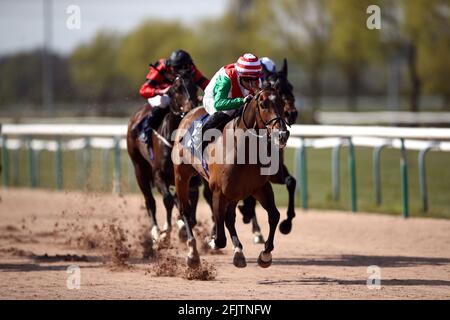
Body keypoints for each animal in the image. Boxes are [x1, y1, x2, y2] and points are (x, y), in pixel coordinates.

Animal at [125, 74, 198, 245]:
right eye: (176, 89)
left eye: (194, 87)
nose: (191, 107)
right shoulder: (158, 174)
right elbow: (167, 200)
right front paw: (166, 233)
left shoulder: (191, 179)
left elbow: (188, 202)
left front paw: (182, 227)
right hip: (139, 169)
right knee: (150, 201)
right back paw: (156, 232)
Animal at [171, 84, 290, 268]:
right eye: (263, 105)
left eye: (282, 103)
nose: (282, 134)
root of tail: (189, 113)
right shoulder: (218, 192)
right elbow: (220, 238)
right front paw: (210, 240)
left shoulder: (260, 187)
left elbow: (274, 215)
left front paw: (265, 254)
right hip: (182, 175)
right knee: (185, 210)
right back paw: (193, 253)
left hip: (235, 192)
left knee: (230, 218)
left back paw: (238, 252)